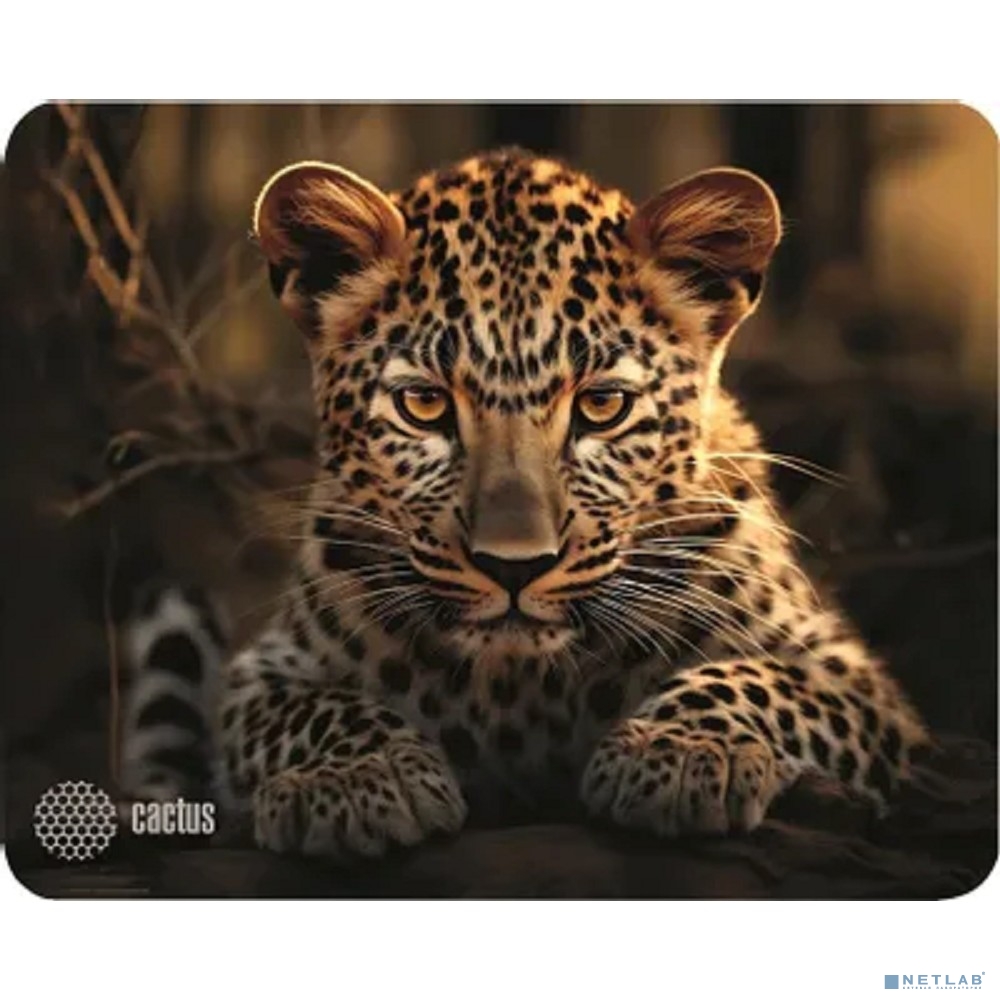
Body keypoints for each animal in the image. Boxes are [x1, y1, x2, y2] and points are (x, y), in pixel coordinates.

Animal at [121, 147, 927, 860]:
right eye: (423, 405)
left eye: (602, 406)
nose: (515, 567)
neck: (522, 684)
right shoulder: (265, 674)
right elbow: (315, 709)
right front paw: (356, 778)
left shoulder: (852, 679)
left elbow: (752, 679)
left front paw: (681, 750)